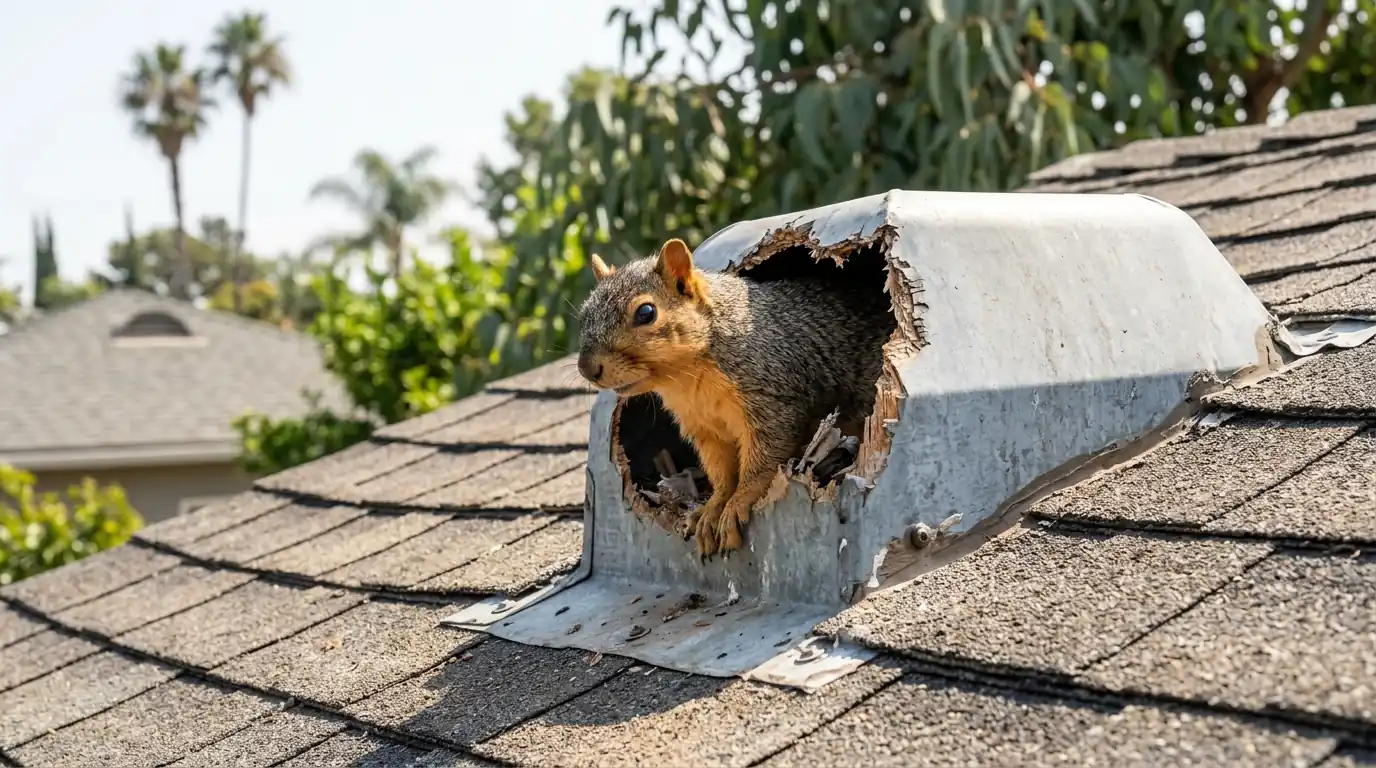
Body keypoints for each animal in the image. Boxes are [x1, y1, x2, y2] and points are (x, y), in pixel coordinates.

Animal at [575, 237, 893, 557]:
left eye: (646, 313)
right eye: (584, 315)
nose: (587, 368)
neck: (688, 379)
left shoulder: (771, 398)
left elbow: (762, 462)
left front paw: (736, 505)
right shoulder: (706, 430)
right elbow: (722, 472)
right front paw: (713, 508)